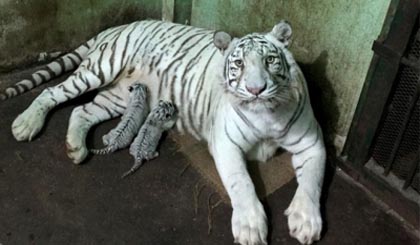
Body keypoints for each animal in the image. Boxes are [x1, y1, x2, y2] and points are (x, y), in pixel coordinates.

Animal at [0, 19, 324, 245]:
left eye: (270, 60)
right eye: (239, 64)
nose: (256, 90)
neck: (266, 114)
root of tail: (120, 25)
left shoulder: (313, 144)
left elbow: (311, 183)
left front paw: (306, 222)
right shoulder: (226, 143)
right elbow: (241, 182)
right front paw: (250, 226)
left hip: (119, 96)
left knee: (81, 111)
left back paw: (76, 148)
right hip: (100, 69)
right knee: (52, 92)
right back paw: (26, 124)